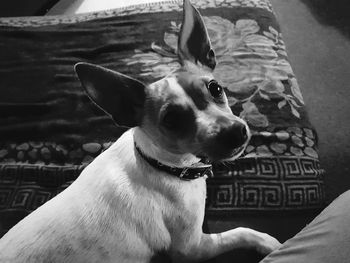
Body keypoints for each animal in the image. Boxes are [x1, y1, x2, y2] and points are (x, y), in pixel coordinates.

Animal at [0, 1, 280, 262]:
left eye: (216, 88)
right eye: (172, 120)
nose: (235, 132)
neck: (162, 165)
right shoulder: (193, 247)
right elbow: (242, 231)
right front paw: (271, 243)